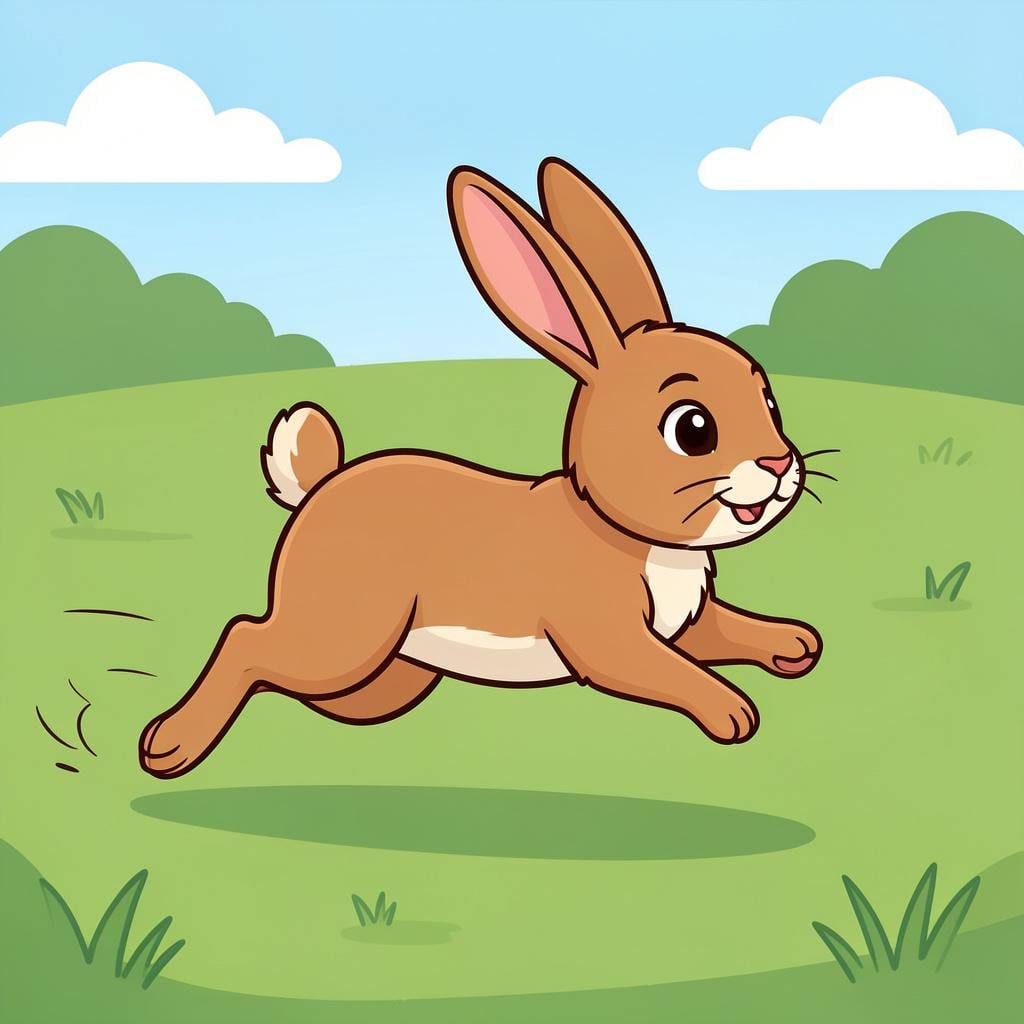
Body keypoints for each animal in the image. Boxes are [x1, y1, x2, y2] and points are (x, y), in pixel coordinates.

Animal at [139, 158, 822, 779]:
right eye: (692, 428)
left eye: (768, 401)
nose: (779, 463)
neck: (621, 531)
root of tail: (317, 489)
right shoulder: (609, 638)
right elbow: (669, 670)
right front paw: (730, 711)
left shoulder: (687, 623)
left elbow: (726, 629)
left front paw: (795, 642)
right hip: (341, 634)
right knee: (246, 640)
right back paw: (168, 746)